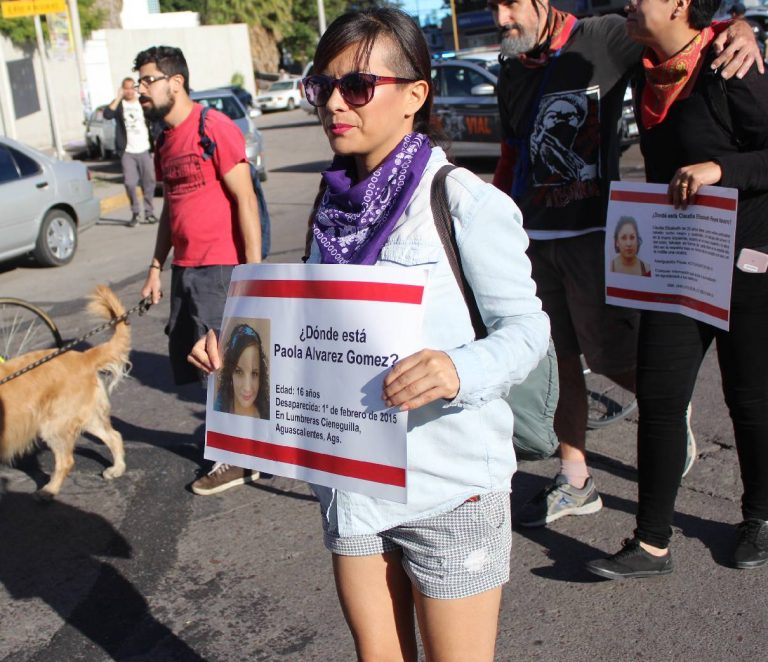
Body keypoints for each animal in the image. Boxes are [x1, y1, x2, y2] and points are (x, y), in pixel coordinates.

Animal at [0, 288, 130, 500]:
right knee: (114, 436)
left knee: (66, 461)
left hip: (55, 423)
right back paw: (117, 468)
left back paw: (49, 491)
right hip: (85, 415)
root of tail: (82, 356)